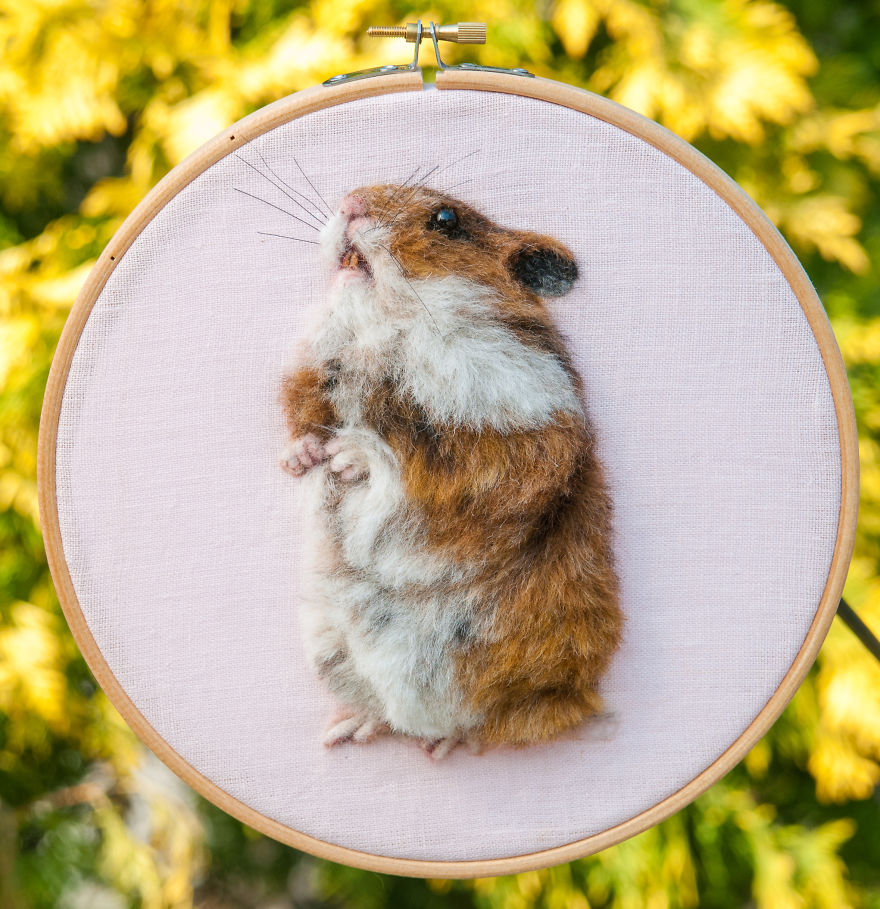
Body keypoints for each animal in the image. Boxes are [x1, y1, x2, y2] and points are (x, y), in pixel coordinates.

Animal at [280, 183, 622, 759]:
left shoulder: (510, 448)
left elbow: (414, 464)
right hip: (331, 645)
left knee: (486, 724)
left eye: (445, 219)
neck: (389, 329)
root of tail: (584, 700)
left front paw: (346, 459)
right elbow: (307, 410)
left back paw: (437, 745)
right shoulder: (318, 371)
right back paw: (347, 730)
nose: (350, 201)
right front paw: (302, 459)